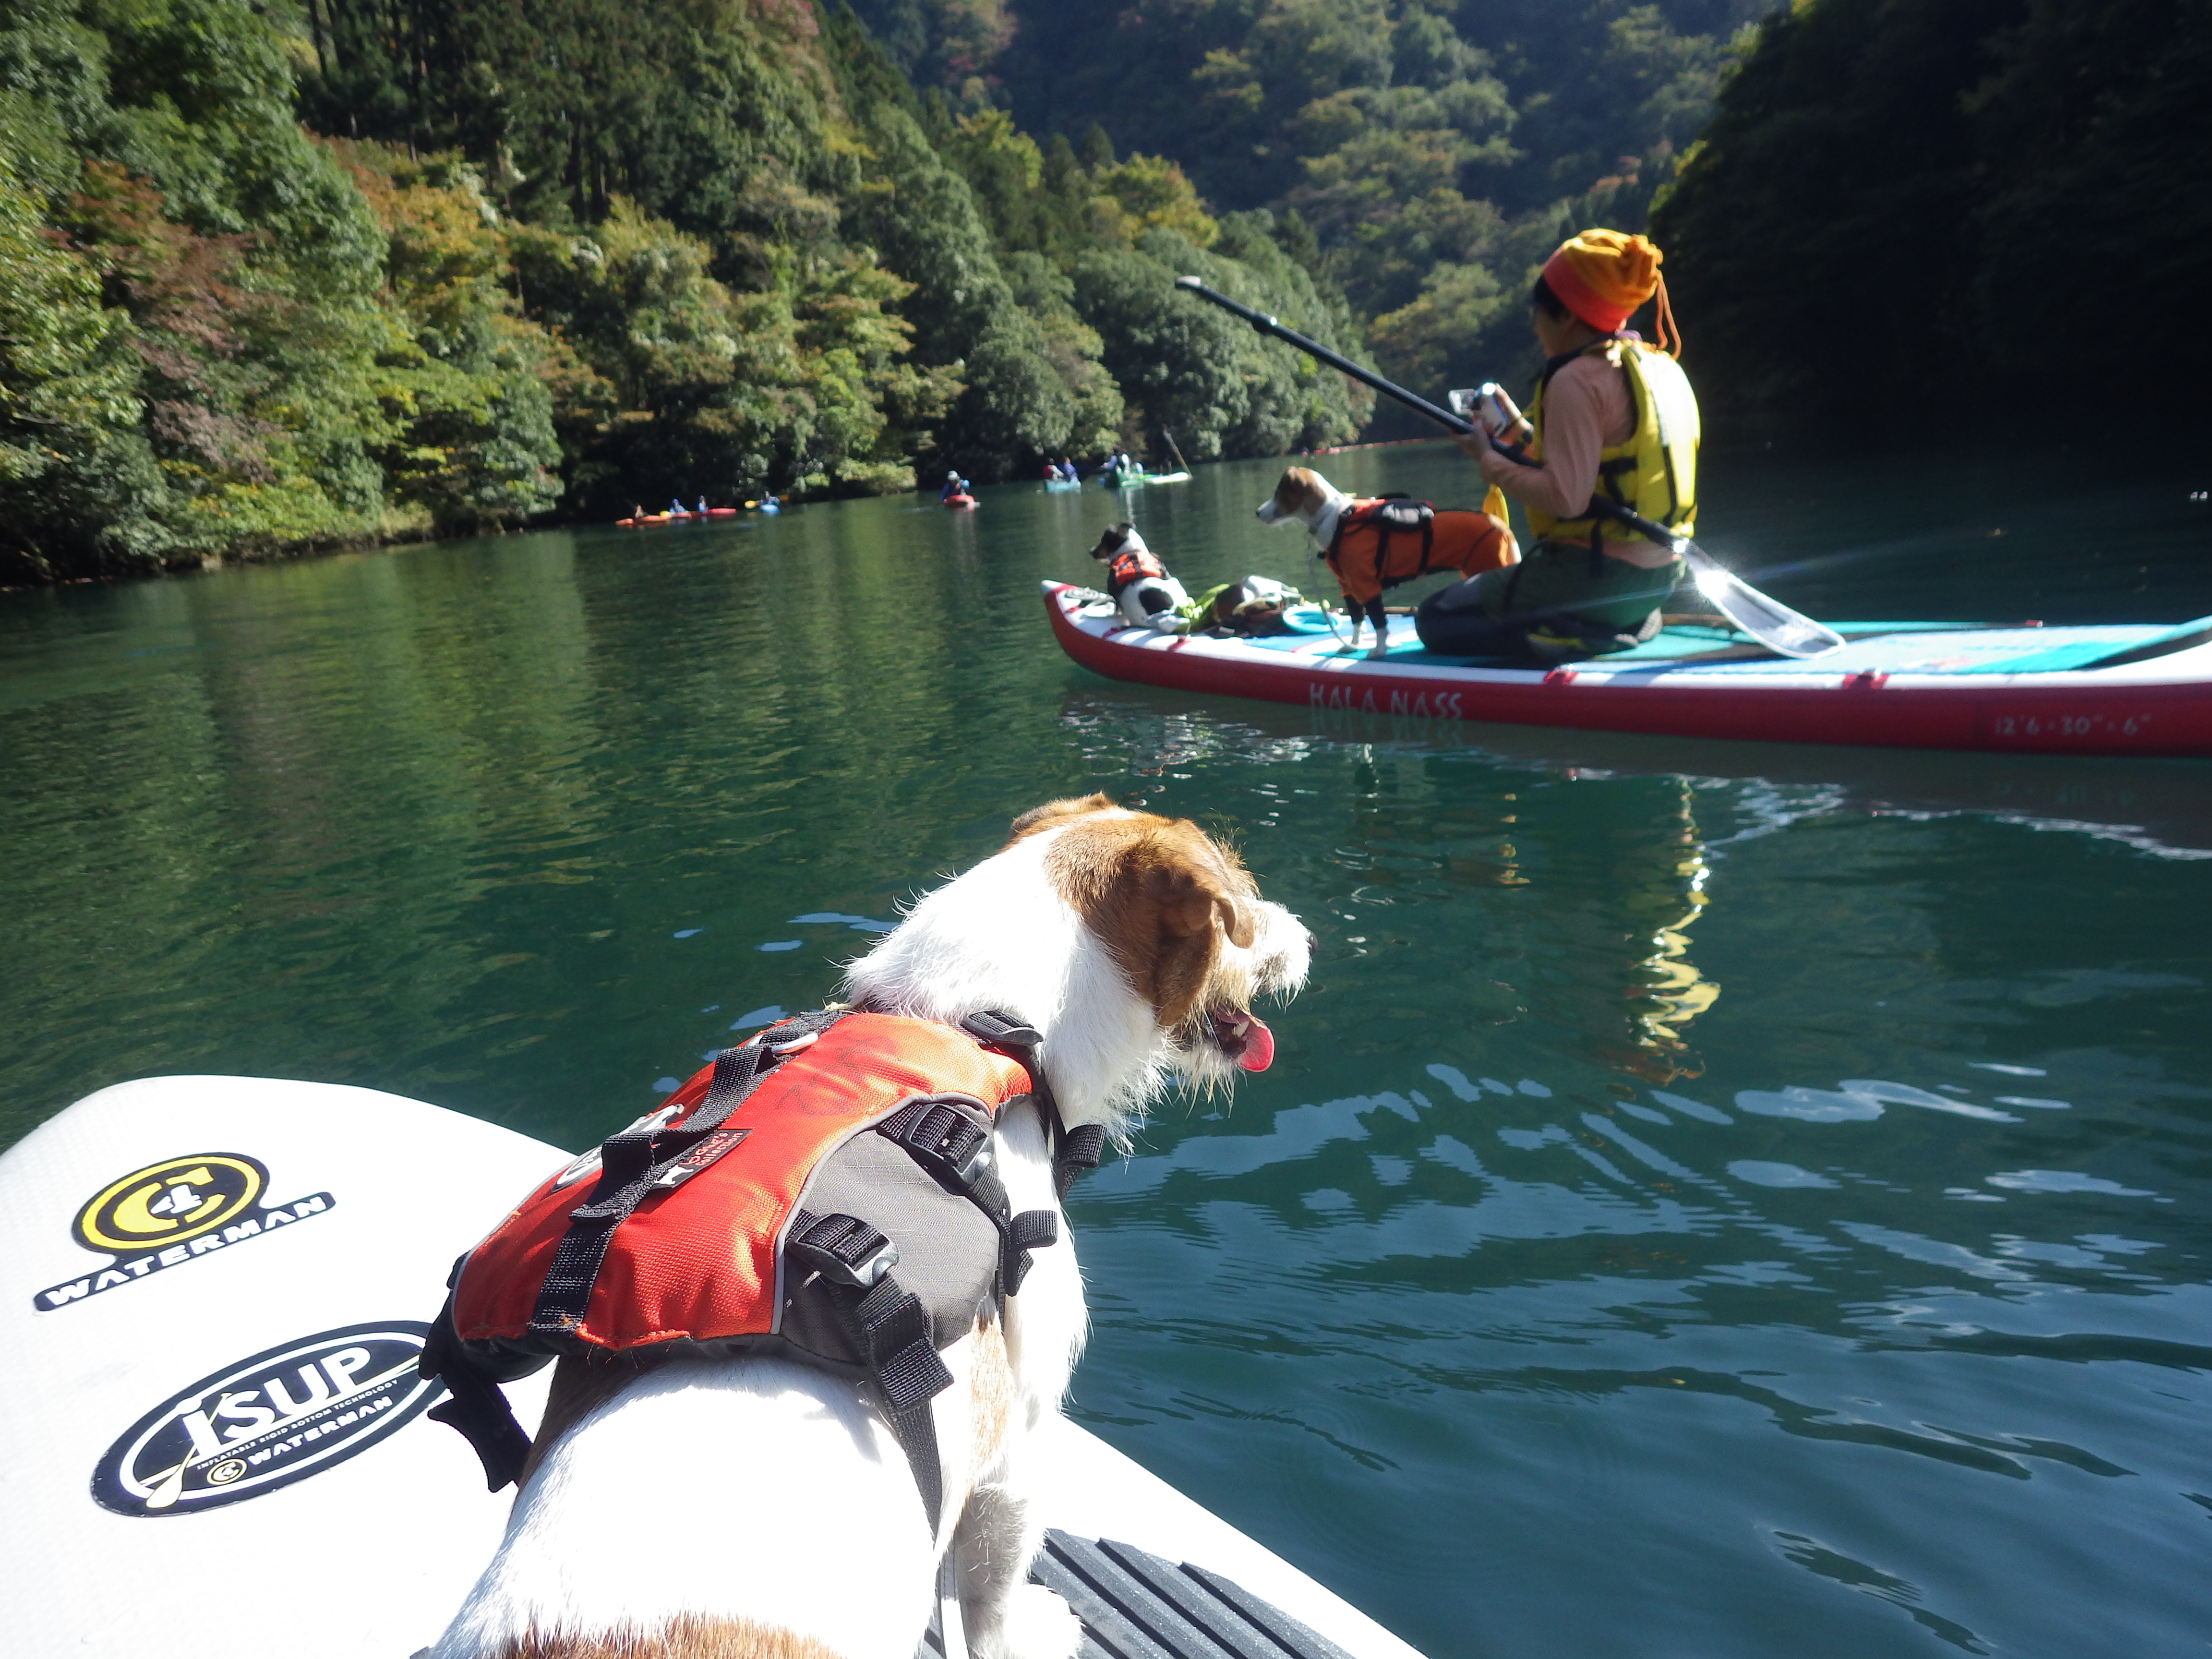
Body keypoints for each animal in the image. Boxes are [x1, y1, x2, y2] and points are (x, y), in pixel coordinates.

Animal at [1256, 464, 1513, 659]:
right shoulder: (1348, 587)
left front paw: (1379, 650)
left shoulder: (1366, 585)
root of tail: (1499, 525)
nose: (1257, 513)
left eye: (1279, 493)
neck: (1336, 518)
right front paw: (1353, 646)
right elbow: (1358, 622)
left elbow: (1379, 623)